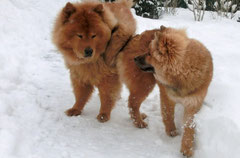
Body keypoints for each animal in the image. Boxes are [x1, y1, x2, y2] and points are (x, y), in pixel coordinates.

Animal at [117, 25, 213, 157]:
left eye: (149, 53)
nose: (135, 59)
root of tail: (134, 38)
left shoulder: (193, 103)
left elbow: (189, 127)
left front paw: (187, 148)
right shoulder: (167, 97)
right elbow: (168, 115)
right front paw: (172, 132)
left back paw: (140, 117)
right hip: (145, 84)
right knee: (133, 103)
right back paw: (139, 122)